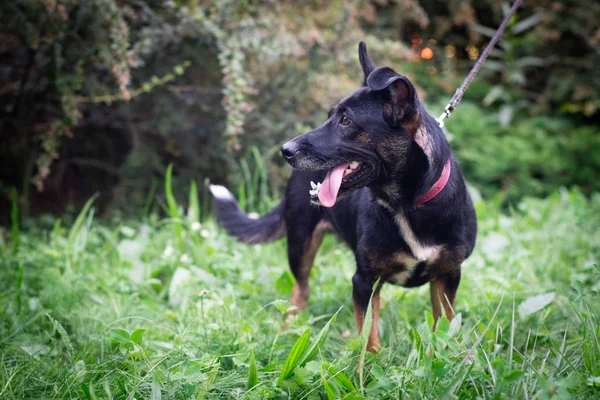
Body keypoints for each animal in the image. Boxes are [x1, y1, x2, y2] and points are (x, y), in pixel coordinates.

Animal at [212, 40, 478, 352]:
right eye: (330, 116)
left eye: (346, 121)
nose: (285, 150)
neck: (407, 204)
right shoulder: (363, 279)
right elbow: (368, 338)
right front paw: (370, 365)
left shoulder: (448, 276)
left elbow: (445, 328)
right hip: (300, 244)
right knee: (300, 291)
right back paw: (290, 332)